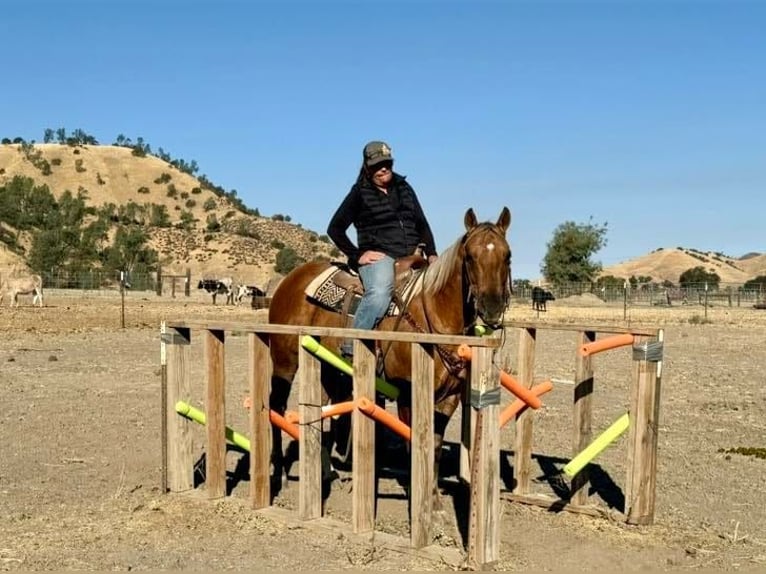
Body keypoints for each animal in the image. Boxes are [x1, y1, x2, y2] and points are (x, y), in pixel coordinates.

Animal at [268, 207, 512, 508]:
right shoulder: (407, 395)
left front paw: (434, 499)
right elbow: (414, 444)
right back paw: (278, 473)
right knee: (276, 405)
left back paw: (326, 471)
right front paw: (418, 500)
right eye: (470, 256)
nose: (492, 307)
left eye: (507, 255)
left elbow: (434, 445)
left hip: (326, 367)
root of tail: (289, 279)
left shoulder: (449, 398)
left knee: (320, 408)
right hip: (285, 361)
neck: (434, 316)